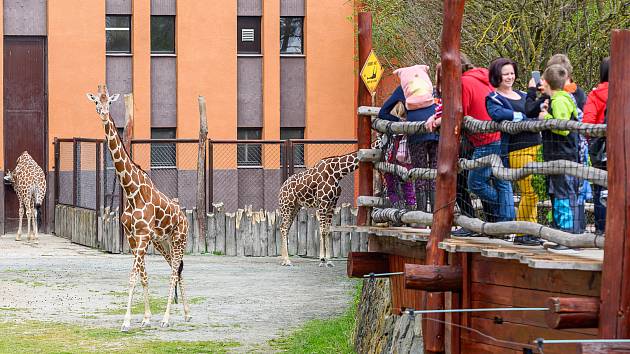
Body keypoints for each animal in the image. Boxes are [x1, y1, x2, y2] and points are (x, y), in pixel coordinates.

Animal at [86, 85, 190, 332]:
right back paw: (186, 314)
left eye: (109, 102)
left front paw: (126, 322)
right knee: (177, 269)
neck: (131, 191)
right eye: (96, 102)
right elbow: (143, 275)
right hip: (163, 242)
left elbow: (133, 276)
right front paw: (145, 318)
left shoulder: (142, 236)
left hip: (179, 239)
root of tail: (184, 216)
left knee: (174, 272)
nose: (103, 114)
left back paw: (167, 319)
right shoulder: (133, 237)